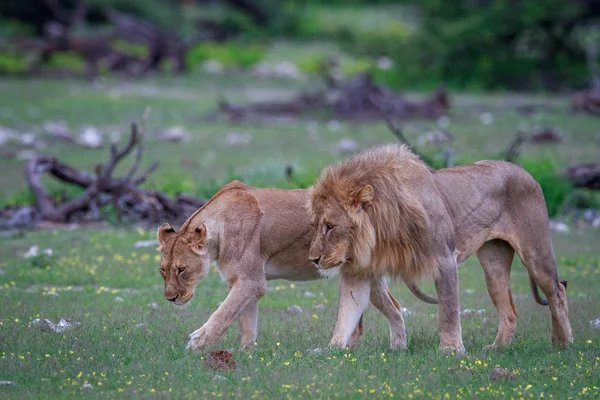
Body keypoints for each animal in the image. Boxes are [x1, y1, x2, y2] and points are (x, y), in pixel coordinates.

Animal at [155, 180, 436, 352]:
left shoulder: (252, 281)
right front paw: (246, 351)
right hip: (371, 278)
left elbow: (224, 313)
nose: (170, 298)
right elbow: (246, 320)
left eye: (181, 269)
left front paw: (197, 344)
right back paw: (398, 349)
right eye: (163, 270)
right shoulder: (244, 281)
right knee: (395, 308)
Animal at [310, 144, 572, 354]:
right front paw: (330, 350)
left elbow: (448, 311)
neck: (382, 228)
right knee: (509, 311)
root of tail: (526, 173)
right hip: (493, 263)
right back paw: (497, 348)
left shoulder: (445, 258)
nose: (313, 259)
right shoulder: (359, 271)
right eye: (314, 225)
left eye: (330, 226)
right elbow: (345, 314)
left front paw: (451, 350)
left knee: (557, 291)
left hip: (536, 252)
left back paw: (562, 343)